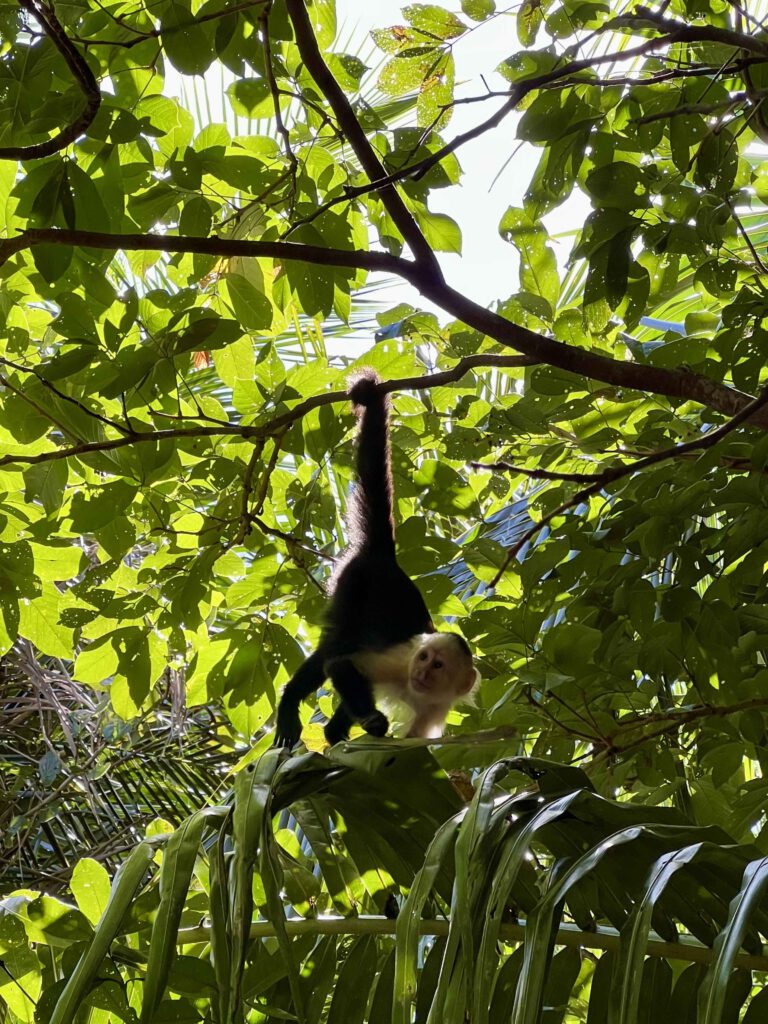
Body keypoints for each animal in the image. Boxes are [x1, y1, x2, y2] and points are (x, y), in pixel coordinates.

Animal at [274, 372, 481, 749]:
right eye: (424, 657)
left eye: (438, 666)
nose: (422, 671)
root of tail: (384, 556)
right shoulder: (398, 661)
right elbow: (339, 665)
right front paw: (368, 719)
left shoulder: (436, 708)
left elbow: (415, 743)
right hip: (351, 582)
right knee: (335, 647)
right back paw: (292, 704)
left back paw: (337, 731)